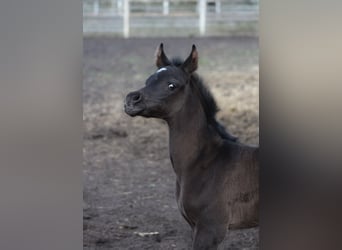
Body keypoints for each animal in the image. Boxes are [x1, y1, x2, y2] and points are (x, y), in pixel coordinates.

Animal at [124, 44, 258, 249]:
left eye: (172, 85)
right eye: (148, 80)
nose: (131, 100)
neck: (206, 163)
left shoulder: (211, 229)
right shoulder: (194, 226)